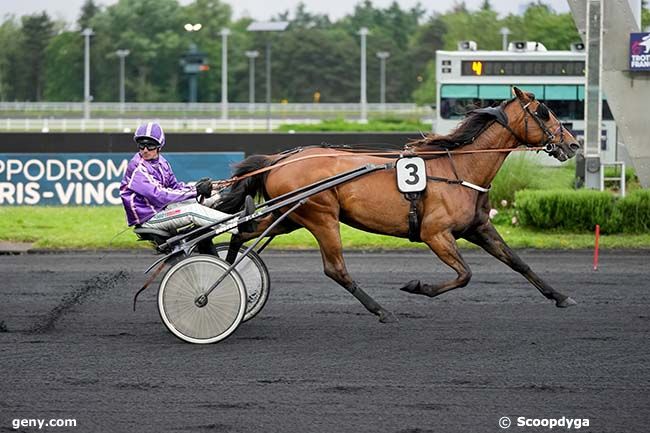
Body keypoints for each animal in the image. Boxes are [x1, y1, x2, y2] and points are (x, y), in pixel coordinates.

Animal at [220, 88, 580, 322]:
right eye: (544, 112)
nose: (573, 144)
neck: (458, 170)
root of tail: (278, 159)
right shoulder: (436, 233)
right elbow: (465, 274)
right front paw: (418, 286)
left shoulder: (479, 227)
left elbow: (519, 263)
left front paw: (561, 297)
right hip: (321, 216)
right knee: (335, 269)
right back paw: (382, 311)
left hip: (289, 216)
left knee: (242, 231)